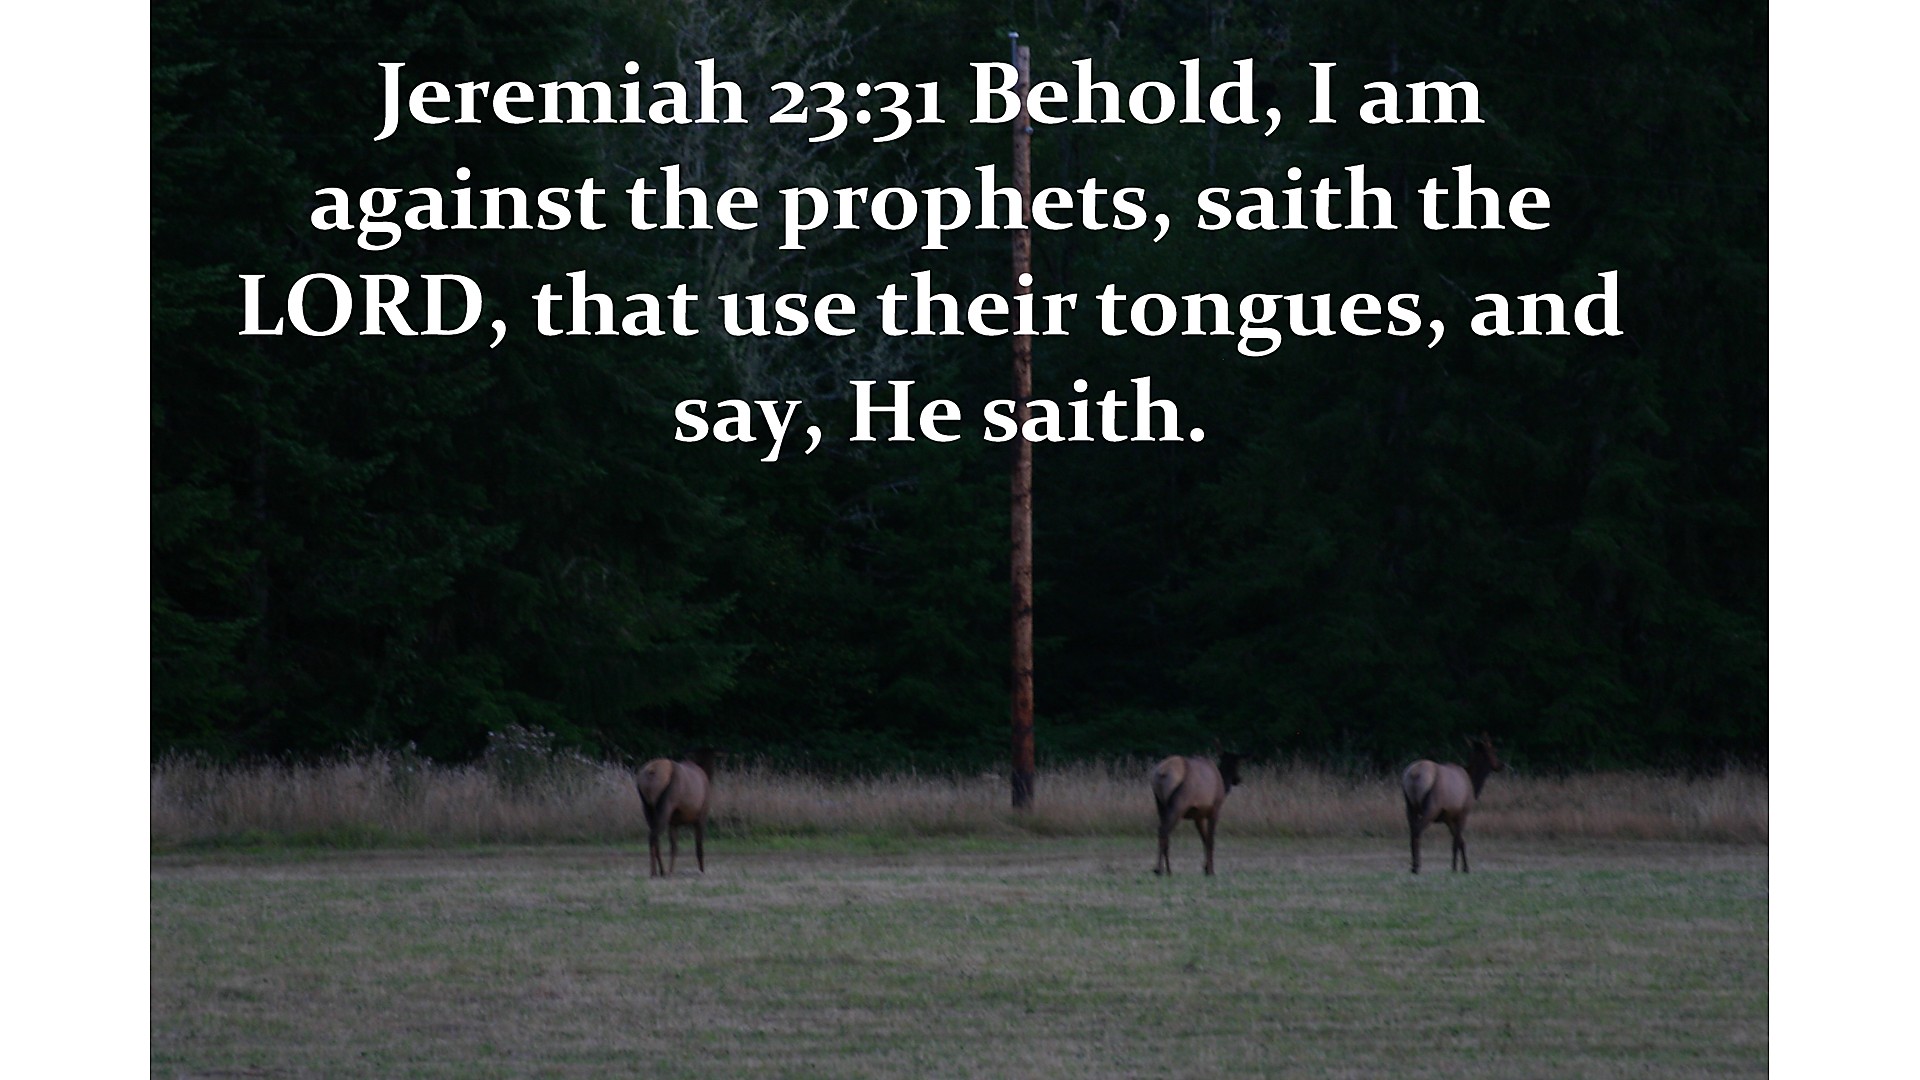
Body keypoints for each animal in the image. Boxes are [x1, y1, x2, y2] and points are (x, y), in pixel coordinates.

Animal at [635, 748, 716, 878]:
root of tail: (651, 772)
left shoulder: (673, 822)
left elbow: (674, 848)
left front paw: (671, 871)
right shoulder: (702, 816)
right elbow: (699, 846)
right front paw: (701, 871)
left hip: (647, 806)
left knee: (655, 838)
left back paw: (662, 871)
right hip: (665, 804)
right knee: (653, 837)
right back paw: (654, 872)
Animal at [1401, 733, 1503, 874]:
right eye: (1493, 750)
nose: (1500, 765)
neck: (1473, 784)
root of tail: (1414, 774)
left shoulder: (1448, 817)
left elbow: (1458, 840)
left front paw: (1457, 866)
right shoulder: (1463, 812)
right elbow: (1459, 841)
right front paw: (1460, 868)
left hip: (1409, 805)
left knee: (1412, 831)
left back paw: (1413, 866)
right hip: (1432, 807)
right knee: (1417, 831)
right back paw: (1416, 866)